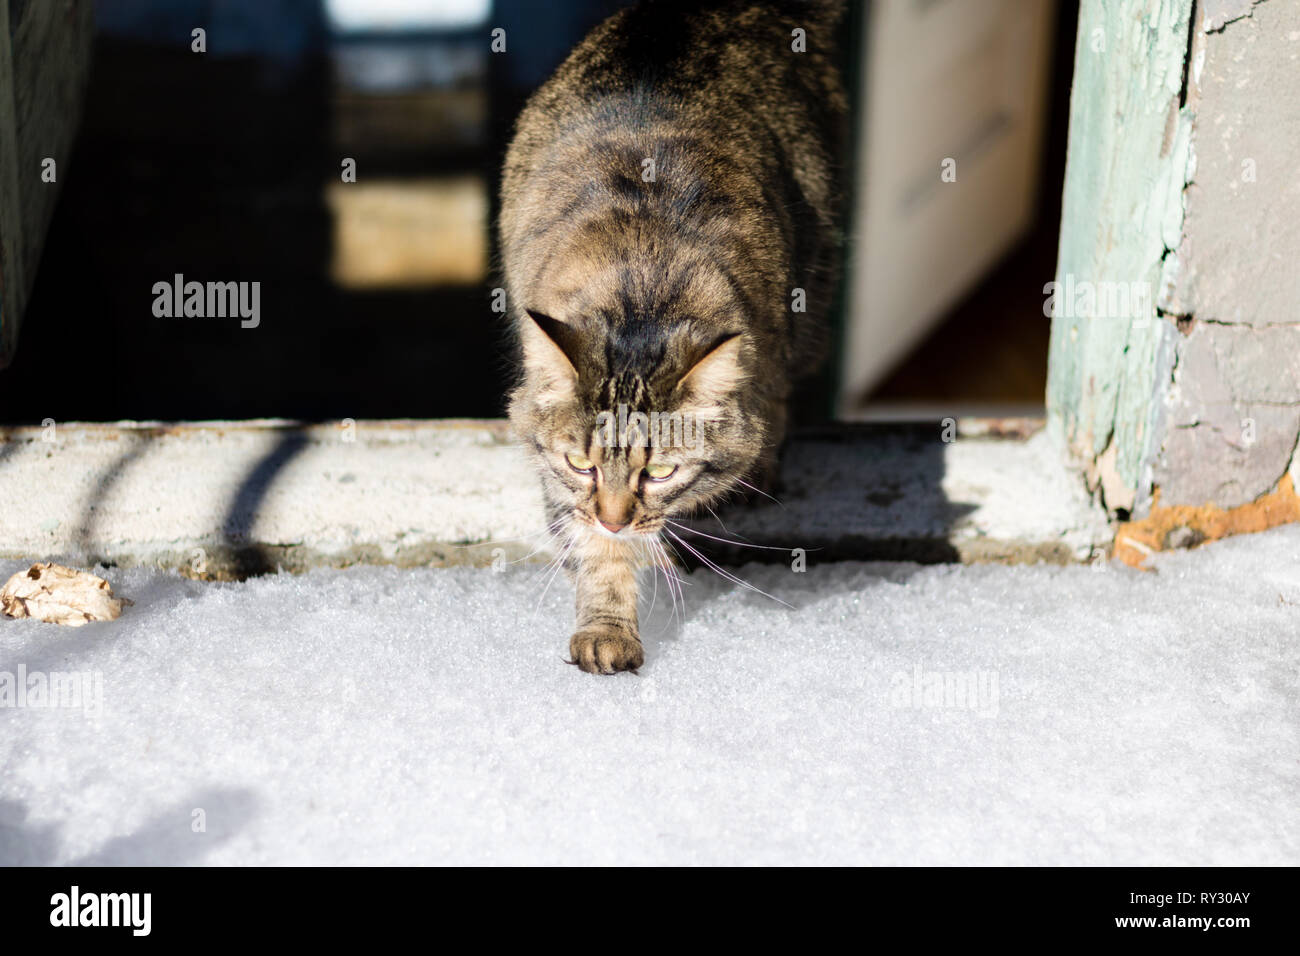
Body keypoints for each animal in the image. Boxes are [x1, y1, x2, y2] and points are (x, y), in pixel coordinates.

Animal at [501, 0, 847, 671]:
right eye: (580, 464)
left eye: (660, 472)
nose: (614, 519)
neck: (643, 282)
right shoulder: (566, 485)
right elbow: (592, 550)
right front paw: (608, 627)